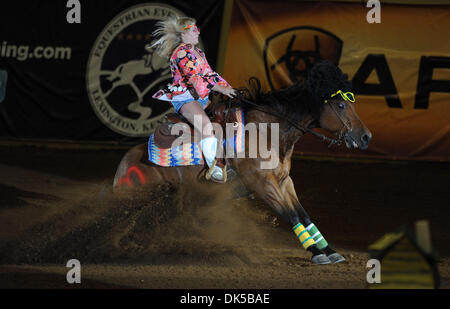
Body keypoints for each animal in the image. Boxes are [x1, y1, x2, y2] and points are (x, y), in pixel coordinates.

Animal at [112, 60, 372, 264]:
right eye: (341, 104)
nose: (365, 136)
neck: (267, 132)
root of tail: (125, 165)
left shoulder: (284, 181)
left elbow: (304, 215)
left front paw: (329, 251)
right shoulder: (263, 184)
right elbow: (292, 216)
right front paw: (317, 253)